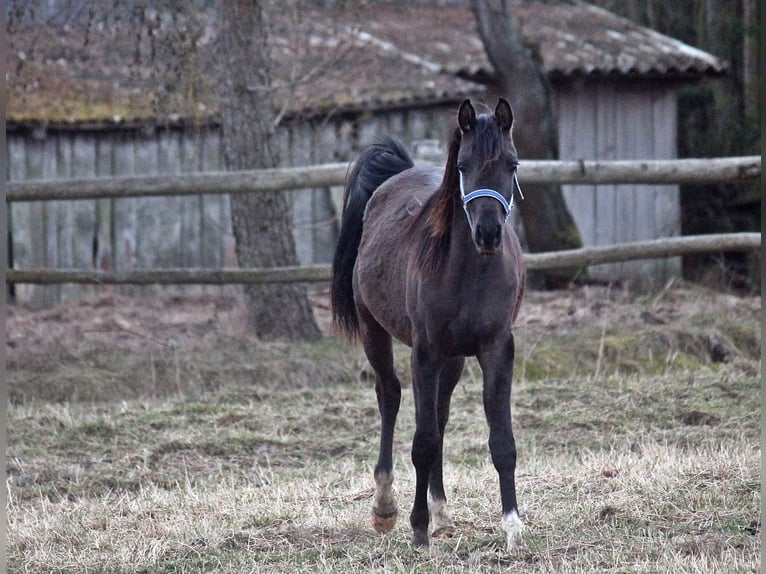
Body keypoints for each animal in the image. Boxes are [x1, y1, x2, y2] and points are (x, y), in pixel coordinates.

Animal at [330, 100, 528, 552]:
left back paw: (442, 513)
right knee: (390, 396)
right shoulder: (425, 353)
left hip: (453, 360)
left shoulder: (496, 349)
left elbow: (501, 441)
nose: (488, 233)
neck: (471, 273)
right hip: (375, 332)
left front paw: (512, 526)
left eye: (511, 164)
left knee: (440, 415)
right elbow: (422, 441)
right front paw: (417, 527)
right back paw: (385, 507)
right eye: (464, 165)